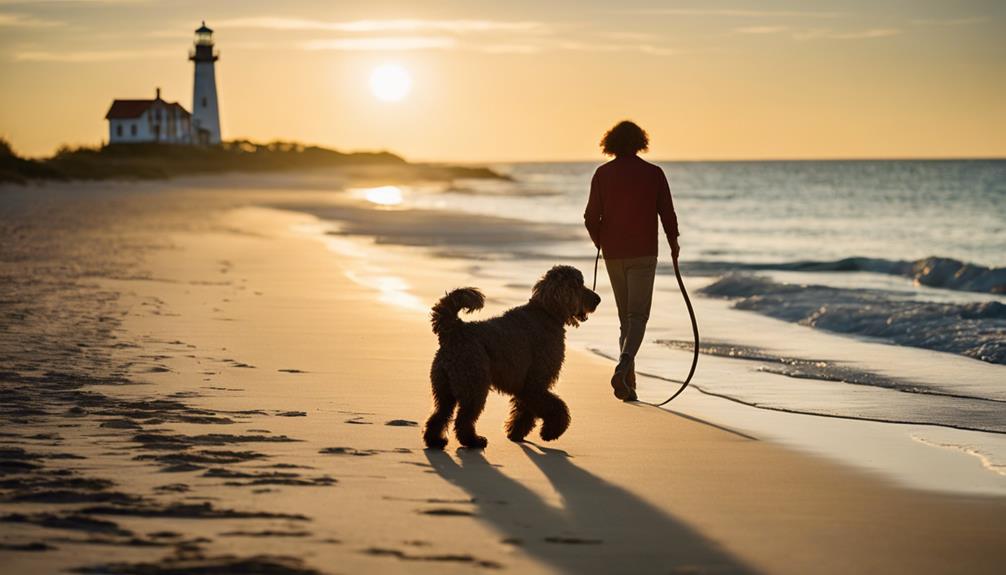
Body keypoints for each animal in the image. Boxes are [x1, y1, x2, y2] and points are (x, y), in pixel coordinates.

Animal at [422, 265, 595, 448]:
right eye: (579, 284)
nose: (598, 299)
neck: (547, 312)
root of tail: (454, 330)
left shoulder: (526, 386)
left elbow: (524, 411)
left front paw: (516, 432)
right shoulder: (535, 384)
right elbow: (555, 407)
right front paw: (551, 431)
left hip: (445, 388)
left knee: (439, 415)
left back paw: (435, 440)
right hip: (474, 386)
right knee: (463, 419)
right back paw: (473, 440)